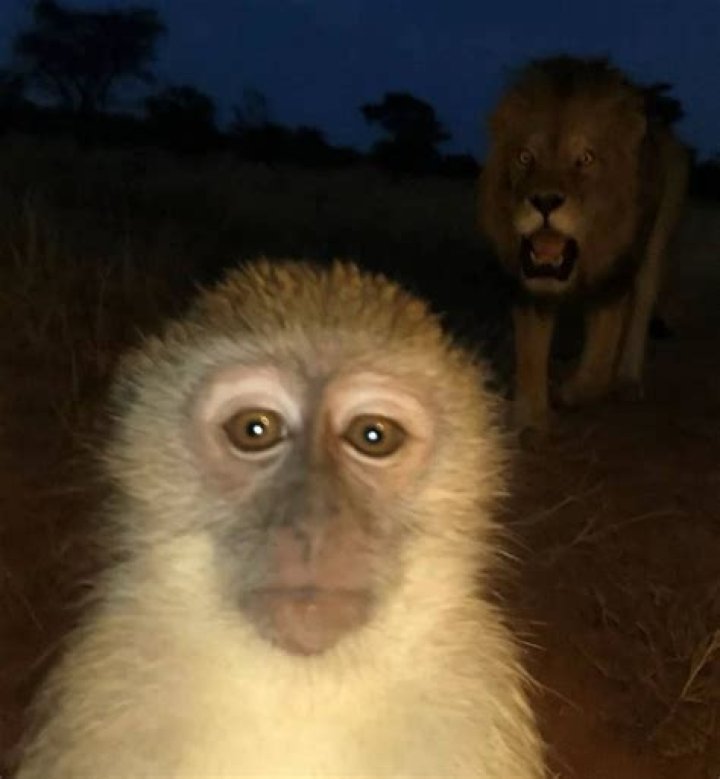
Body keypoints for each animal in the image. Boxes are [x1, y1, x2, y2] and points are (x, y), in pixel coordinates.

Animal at [479, 56, 689, 433]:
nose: (545, 201)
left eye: (585, 158)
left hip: (656, 243)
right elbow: (530, 356)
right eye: (525, 157)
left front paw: (569, 392)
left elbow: (597, 368)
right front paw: (529, 418)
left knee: (641, 307)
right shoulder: (529, 285)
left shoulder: (614, 279)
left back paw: (628, 380)